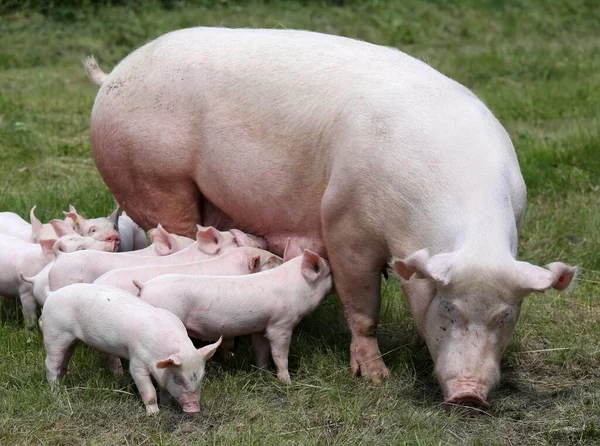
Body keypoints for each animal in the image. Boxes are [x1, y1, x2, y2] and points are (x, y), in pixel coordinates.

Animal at [135, 251, 330, 384]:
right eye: (328, 273)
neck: (297, 287)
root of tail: (144, 286)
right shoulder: (281, 324)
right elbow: (280, 354)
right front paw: (287, 383)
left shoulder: (261, 326)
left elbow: (261, 351)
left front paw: (263, 374)